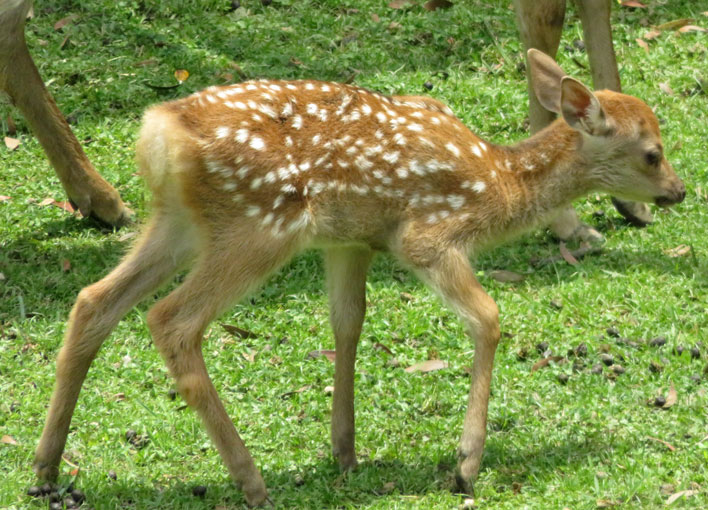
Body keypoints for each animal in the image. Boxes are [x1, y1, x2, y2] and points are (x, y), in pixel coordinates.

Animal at [34, 49, 684, 504]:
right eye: (651, 152)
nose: (678, 191)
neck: (498, 182)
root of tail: (158, 134)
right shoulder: (427, 235)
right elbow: (489, 318)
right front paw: (466, 464)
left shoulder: (350, 241)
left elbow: (348, 324)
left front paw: (345, 451)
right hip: (259, 225)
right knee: (171, 321)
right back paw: (251, 481)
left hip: (179, 225)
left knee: (93, 301)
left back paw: (45, 469)